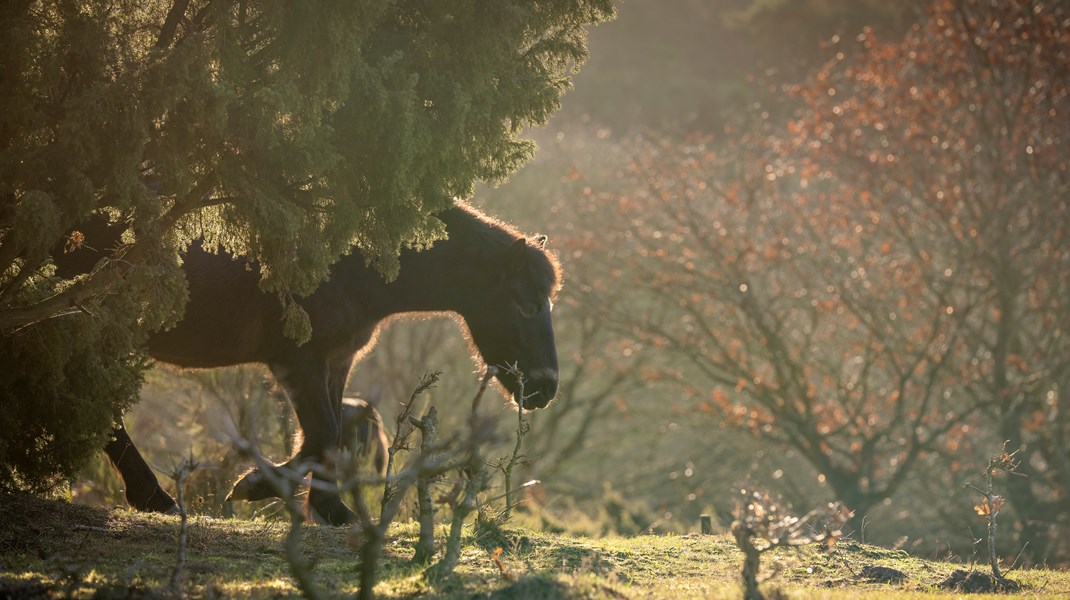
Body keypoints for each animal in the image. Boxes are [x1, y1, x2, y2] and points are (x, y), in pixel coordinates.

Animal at [60, 202, 560, 524]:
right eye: (526, 305)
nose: (546, 387)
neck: (353, 256)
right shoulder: (299, 360)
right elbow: (321, 436)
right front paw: (255, 486)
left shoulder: (337, 361)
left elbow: (332, 439)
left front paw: (329, 508)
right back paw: (155, 498)